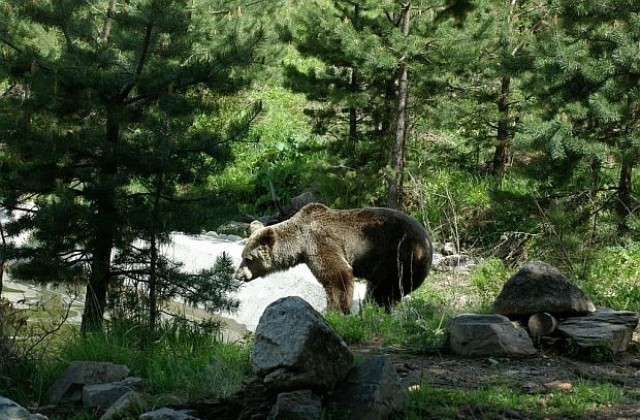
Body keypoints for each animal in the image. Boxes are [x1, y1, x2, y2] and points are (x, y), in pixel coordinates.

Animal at [232, 202, 432, 314]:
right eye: (242, 256)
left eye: (248, 258)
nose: (238, 275)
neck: (299, 244)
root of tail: (428, 244)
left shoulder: (320, 241)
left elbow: (337, 274)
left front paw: (335, 309)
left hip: (397, 257)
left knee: (383, 291)